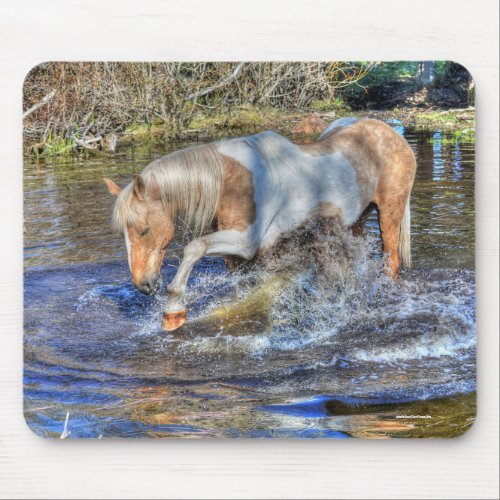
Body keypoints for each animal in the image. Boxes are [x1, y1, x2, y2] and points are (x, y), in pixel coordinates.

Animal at [103, 117, 416, 332]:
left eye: (143, 229)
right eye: (123, 235)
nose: (143, 285)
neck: (232, 181)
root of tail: (391, 133)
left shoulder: (245, 242)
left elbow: (194, 247)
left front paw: (173, 311)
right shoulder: (237, 256)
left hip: (390, 212)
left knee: (391, 260)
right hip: (356, 221)